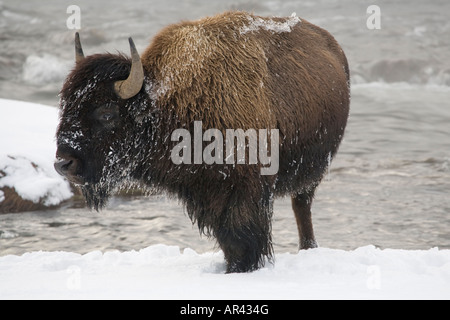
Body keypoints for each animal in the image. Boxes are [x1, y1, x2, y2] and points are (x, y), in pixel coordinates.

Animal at [55, 11, 352, 272]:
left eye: (107, 112)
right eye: (65, 106)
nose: (63, 163)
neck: (167, 102)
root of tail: (333, 45)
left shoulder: (244, 193)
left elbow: (243, 241)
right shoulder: (207, 194)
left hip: (311, 174)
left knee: (302, 207)